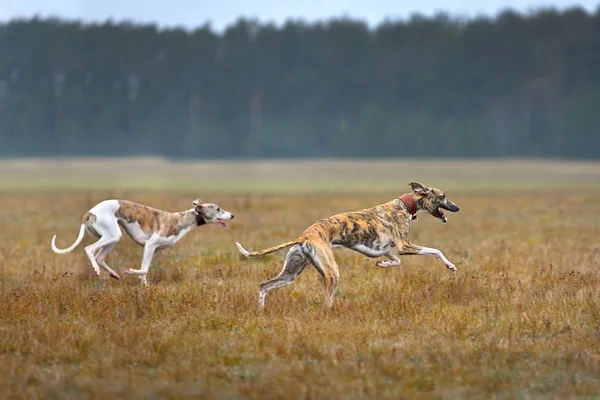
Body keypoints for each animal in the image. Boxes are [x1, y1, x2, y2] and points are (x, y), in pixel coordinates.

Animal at [51, 198, 236, 284]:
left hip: (110, 238)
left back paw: (113, 274)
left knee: (99, 256)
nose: (232, 215)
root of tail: (90, 212)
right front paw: (130, 272)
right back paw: (96, 270)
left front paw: (143, 284)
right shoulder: (150, 245)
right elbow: (145, 269)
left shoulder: (156, 250)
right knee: (90, 249)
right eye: (218, 209)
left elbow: (145, 270)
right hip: (112, 235)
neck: (180, 220)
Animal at [234, 183, 460, 308]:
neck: (404, 205)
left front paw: (383, 265)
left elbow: (394, 261)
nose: (457, 208)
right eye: (443, 196)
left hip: (291, 272)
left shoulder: (385, 250)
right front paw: (450, 265)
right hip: (332, 272)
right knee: (326, 301)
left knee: (264, 286)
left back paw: (261, 310)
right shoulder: (405, 246)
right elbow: (436, 250)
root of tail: (304, 236)